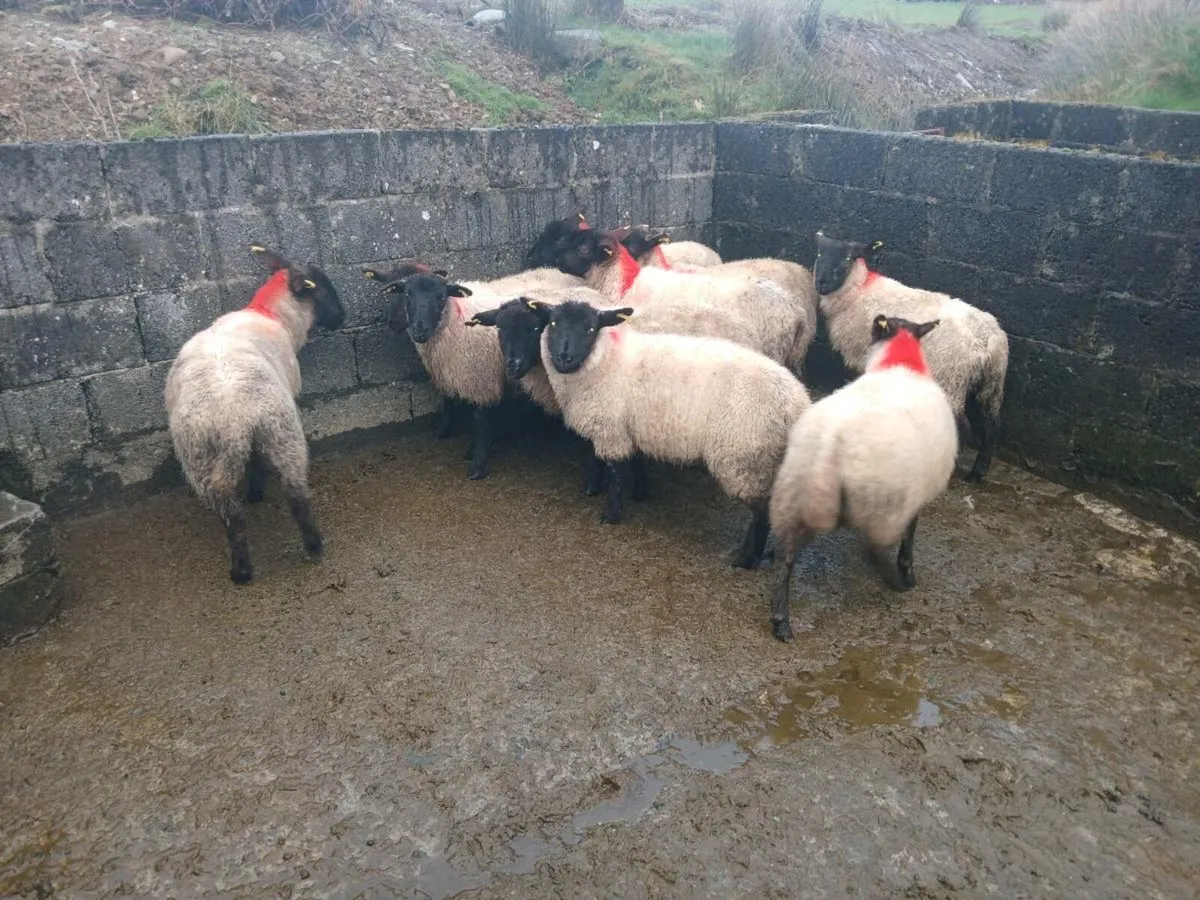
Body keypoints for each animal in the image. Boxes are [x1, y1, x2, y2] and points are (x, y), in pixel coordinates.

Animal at [165, 245, 345, 585]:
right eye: (325, 289)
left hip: (206, 455)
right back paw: (307, 546)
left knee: (235, 512)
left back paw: (244, 566)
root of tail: (234, 420)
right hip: (281, 433)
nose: (343, 319)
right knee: (294, 495)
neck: (269, 312)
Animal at [538, 299, 812, 569]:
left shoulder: (610, 429)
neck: (604, 360)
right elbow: (624, 461)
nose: (563, 357)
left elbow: (614, 472)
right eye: (553, 323)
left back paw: (745, 560)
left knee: (760, 512)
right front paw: (627, 492)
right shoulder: (627, 426)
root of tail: (796, 403)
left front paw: (611, 514)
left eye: (590, 329)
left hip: (743, 459)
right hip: (765, 458)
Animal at [767, 314, 959, 642]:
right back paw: (896, 579)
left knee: (786, 556)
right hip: (883, 503)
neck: (901, 361)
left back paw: (781, 620)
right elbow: (910, 534)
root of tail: (831, 443)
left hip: (792, 494)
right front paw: (907, 570)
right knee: (879, 543)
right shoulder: (916, 493)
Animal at [813, 231, 1009, 482]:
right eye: (820, 253)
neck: (859, 291)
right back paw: (978, 472)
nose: (821, 283)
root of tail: (989, 338)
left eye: (848, 257)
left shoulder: (861, 353)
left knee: (963, 426)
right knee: (992, 426)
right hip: (991, 384)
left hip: (951, 377)